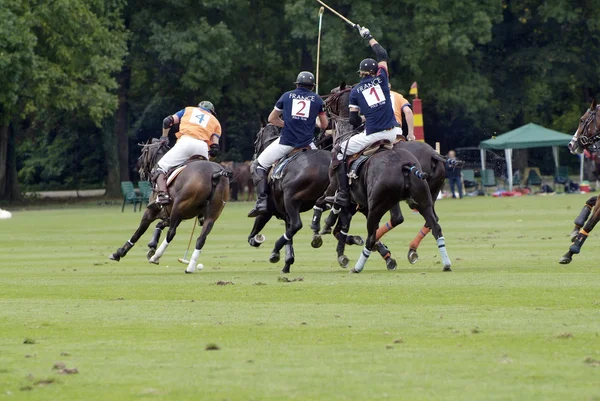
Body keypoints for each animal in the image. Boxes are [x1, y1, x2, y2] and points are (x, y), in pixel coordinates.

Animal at [109, 139, 231, 274]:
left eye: (144, 152)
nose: (139, 169)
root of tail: (215, 175)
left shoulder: (152, 212)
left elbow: (138, 232)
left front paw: (119, 253)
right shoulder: (172, 215)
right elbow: (159, 224)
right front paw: (152, 245)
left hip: (179, 207)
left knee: (171, 233)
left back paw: (156, 257)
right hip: (211, 215)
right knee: (201, 239)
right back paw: (190, 267)